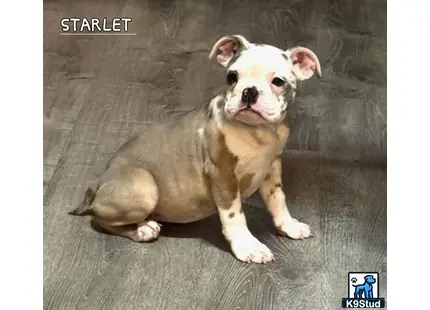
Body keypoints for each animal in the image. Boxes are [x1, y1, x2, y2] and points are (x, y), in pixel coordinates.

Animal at [69, 34, 320, 264]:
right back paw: (142, 229)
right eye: (232, 77)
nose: (249, 91)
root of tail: (100, 181)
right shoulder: (222, 175)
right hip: (144, 186)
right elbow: (235, 215)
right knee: (100, 221)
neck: (256, 131)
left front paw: (288, 226)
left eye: (278, 81)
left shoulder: (273, 168)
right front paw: (248, 246)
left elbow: (278, 200)